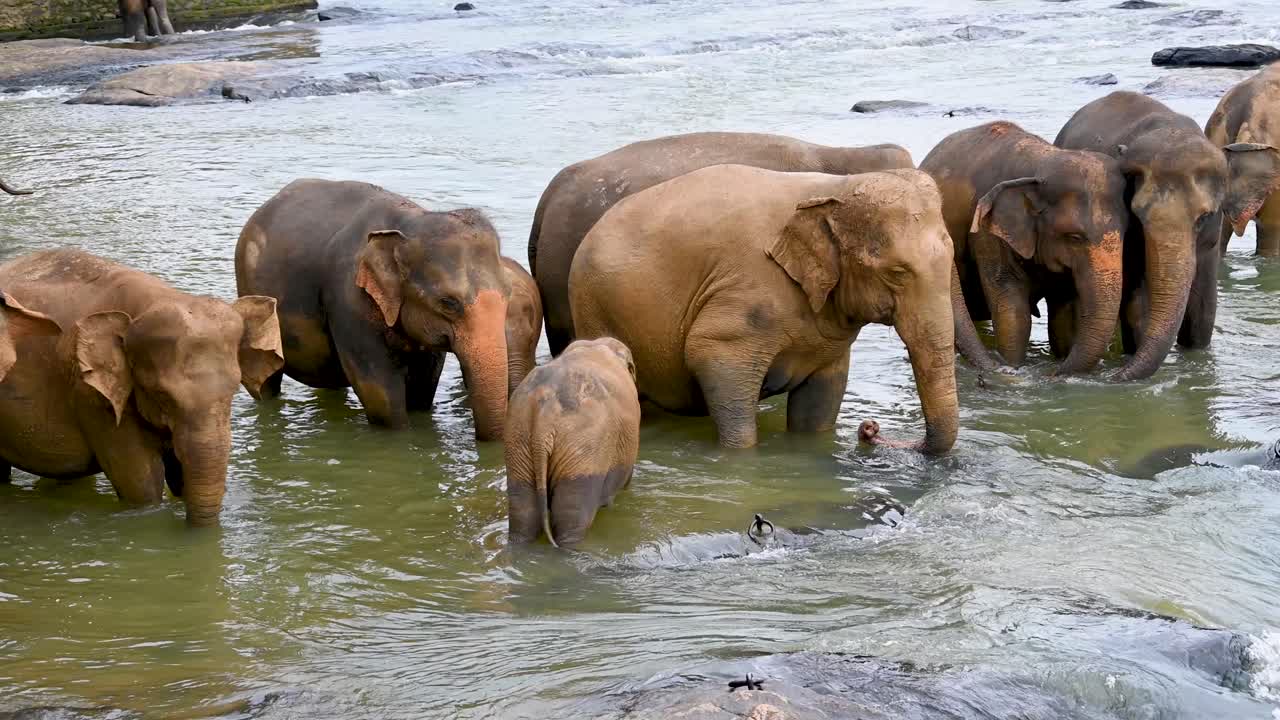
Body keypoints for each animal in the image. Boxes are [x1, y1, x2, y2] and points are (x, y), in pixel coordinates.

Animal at [236, 179, 511, 440]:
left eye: (507, 296)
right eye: (448, 302)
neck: (411, 224)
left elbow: (424, 384)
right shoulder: (349, 300)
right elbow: (380, 392)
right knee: (267, 378)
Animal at [505, 337, 640, 547]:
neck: (595, 344)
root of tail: (545, 407)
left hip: (517, 438)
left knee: (522, 515)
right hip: (582, 452)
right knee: (573, 518)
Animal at [569, 165, 959, 452]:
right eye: (897, 273)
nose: (869, 428)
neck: (836, 186)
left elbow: (820, 402)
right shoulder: (746, 290)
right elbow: (711, 355)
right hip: (595, 308)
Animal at [920, 121, 1128, 374]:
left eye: (1127, 231)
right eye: (1074, 237)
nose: (1053, 374)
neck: (1040, 164)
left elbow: (1063, 314)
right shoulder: (987, 232)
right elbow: (1013, 312)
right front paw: (1013, 366)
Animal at [1056, 91, 1280, 379]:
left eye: (1204, 217)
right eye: (1137, 215)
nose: (1113, 377)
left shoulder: (1210, 239)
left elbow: (1203, 308)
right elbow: (1138, 304)